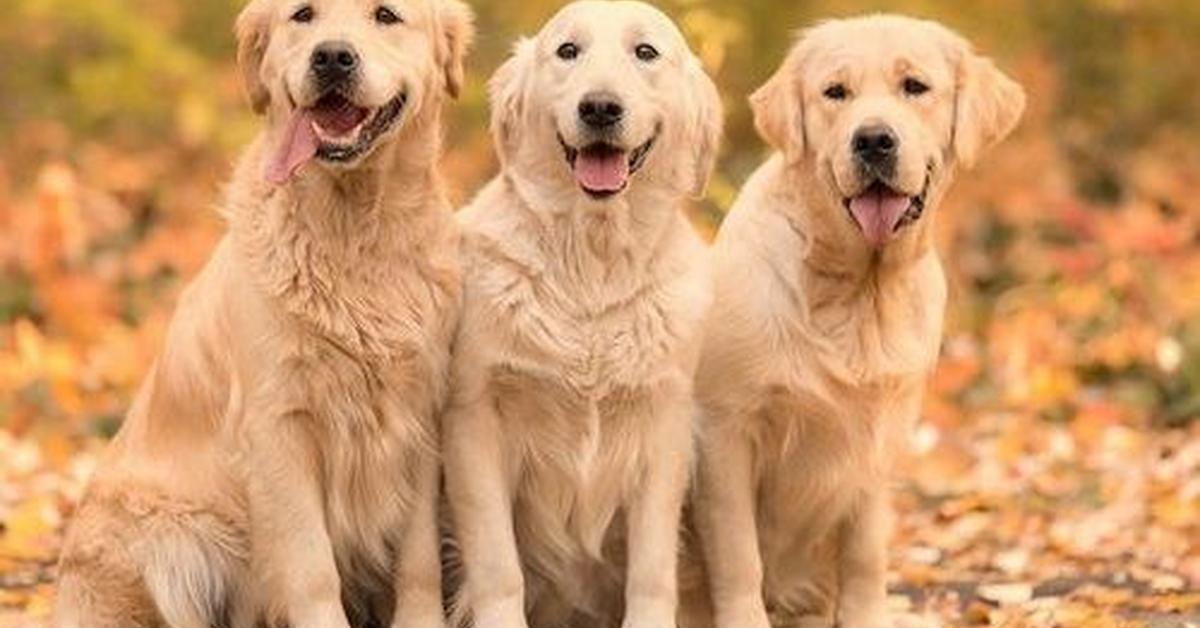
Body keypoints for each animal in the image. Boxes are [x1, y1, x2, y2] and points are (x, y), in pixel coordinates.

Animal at [54, 1, 472, 628]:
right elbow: (311, 568)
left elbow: (417, 560)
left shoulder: (419, 413)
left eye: (386, 15)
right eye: (303, 14)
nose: (332, 57)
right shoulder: (279, 426)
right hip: (165, 534)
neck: (355, 233)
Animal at [441, 2, 720, 624]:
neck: (593, 265)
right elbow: (498, 567)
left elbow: (651, 571)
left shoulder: (663, 426)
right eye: (567, 51)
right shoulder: (476, 417)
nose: (599, 108)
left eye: (646, 52)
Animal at [691, 13, 1027, 628]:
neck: (857, 293)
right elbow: (739, 554)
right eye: (835, 92)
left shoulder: (878, 438)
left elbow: (866, 553)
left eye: (914, 86)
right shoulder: (725, 428)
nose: (873, 140)